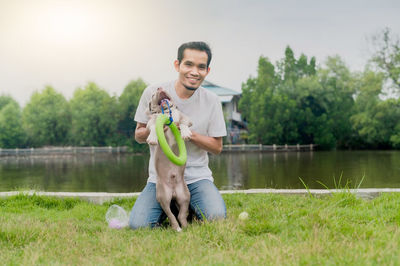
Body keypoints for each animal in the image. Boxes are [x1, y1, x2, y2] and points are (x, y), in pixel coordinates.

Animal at [146, 87, 193, 231]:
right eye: (153, 94)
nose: (159, 87)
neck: (166, 113)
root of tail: (173, 192)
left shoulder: (186, 118)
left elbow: (183, 123)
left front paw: (186, 133)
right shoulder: (151, 122)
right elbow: (153, 127)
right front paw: (152, 138)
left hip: (185, 196)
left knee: (181, 215)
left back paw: (185, 227)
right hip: (163, 197)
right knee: (171, 215)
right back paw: (177, 228)